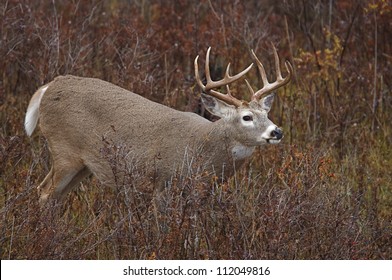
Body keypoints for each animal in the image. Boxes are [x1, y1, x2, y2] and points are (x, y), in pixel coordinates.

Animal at [24, 45, 292, 203]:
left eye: (267, 113)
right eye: (247, 117)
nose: (276, 131)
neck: (202, 149)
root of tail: (50, 86)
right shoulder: (162, 184)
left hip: (83, 165)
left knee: (53, 195)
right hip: (63, 150)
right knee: (45, 192)